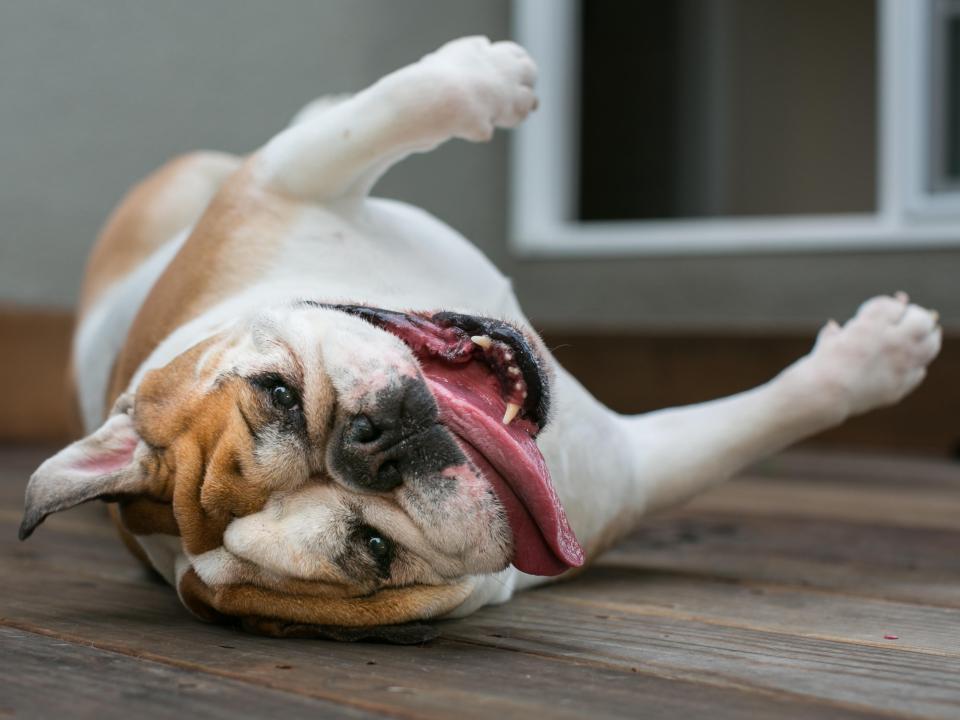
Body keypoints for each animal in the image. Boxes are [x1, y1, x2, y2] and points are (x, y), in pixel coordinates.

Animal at [18, 36, 940, 640]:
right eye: (372, 550)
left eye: (276, 391)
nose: (372, 444)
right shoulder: (631, 475)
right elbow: (758, 422)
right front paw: (878, 360)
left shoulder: (276, 186)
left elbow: (370, 120)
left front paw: (480, 75)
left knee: (325, 119)